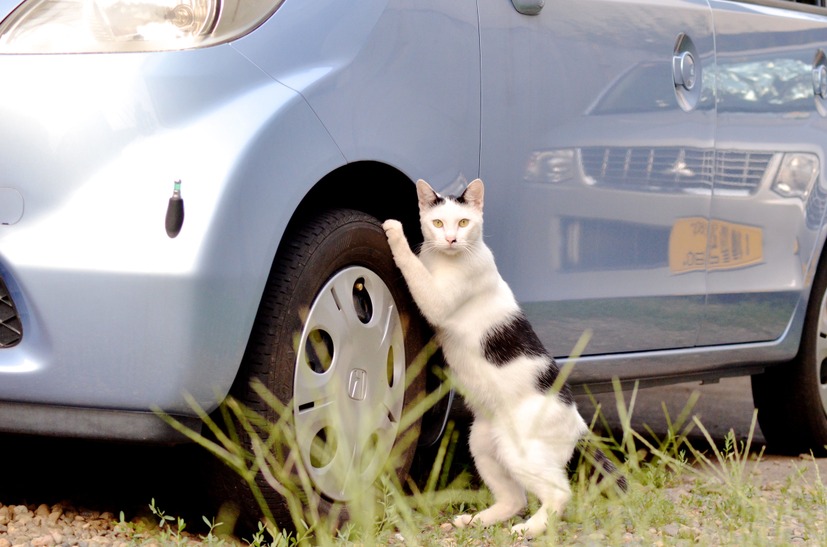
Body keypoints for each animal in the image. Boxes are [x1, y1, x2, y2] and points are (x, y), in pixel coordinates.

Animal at [384, 180, 624, 540]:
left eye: (464, 222)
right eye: (438, 223)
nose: (451, 239)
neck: (445, 259)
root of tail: (578, 423)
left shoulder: (438, 300)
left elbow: (414, 269)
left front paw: (395, 233)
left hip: (522, 455)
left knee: (558, 493)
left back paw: (529, 529)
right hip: (483, 443)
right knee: (515, 498)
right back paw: (475, 521)